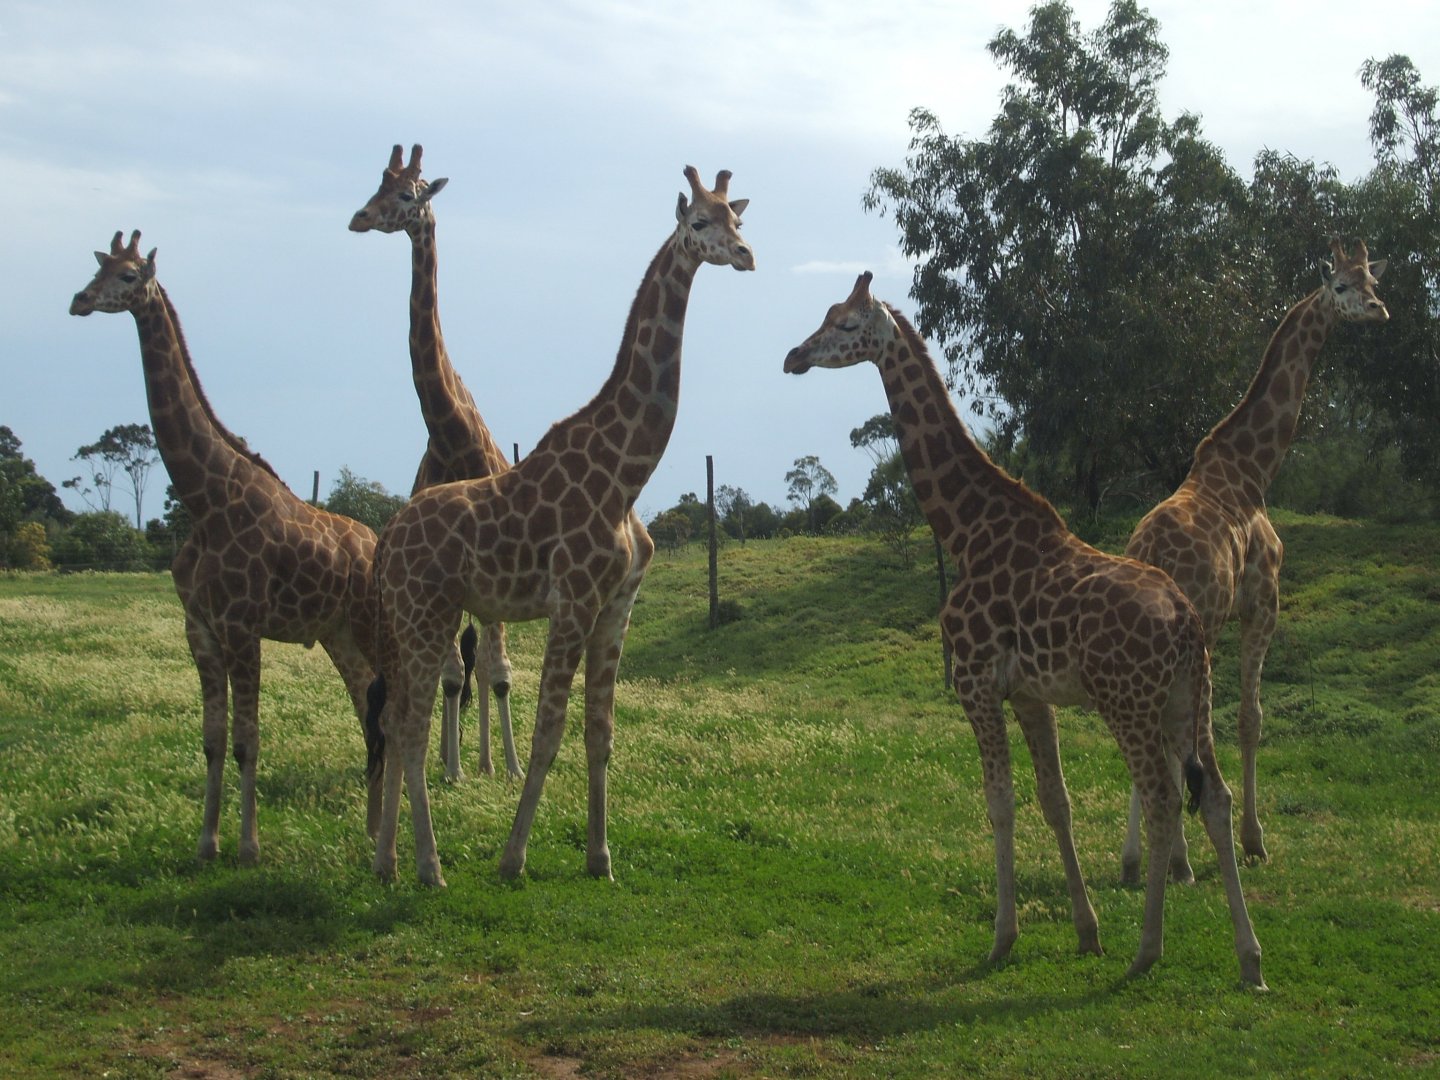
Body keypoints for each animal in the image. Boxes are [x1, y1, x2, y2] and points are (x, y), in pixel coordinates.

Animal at [69, 230, 382, 864]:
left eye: (129, 275)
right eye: (99, 267)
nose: (79, 301)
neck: (204, 500)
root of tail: (379, 543)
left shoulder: (242, 627)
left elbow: (247, 741)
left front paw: (248, 847)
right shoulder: (200, 628)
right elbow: (212, 740)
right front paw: (206, 843)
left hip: (370, 624)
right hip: (337, 631)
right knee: (369, 709)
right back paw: (368, 832)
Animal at [349, 143, 521, 783]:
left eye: (405, 193)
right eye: (376, 185)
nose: (359, 218)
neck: (451, 437)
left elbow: (499, 674)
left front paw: (510, 768)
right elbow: (450, 676)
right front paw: (447, 769)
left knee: (485, 665)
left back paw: (491, 759)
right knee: (458, 668)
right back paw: (460, 759)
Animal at [366, 165, 754, 886]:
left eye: (738, 219)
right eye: (699, 223)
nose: (746, 255)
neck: (627, 472)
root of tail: (385, 543)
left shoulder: (617, 605)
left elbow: (600, 733)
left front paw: (601, 859)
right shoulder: (572, 600)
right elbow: (549, 730)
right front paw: (512, 858)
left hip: (412, 618)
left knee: (399, 716)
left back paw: (388, 863)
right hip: (427, 613)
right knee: (410, 723)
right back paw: (430, 868)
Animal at [784, 272, 1264, 986]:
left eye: (845, 324)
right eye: (825, 314)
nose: (794, 357)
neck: (966, 532)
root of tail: (1185, 624)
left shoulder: (976, 685)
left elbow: (1000, 804)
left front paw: (1002, 939)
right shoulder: (1033, 696)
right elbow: (1054, 800)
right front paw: (1087, 932)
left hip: (1129, 702)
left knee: (1161, 797)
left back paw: (1148, 950)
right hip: (1188, 698)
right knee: (1216, 798)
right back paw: (1250, 959)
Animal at [1121, 239, 1389, 884]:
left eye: (1372, 279)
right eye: (1340, 286)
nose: (1379, 311)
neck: (1252, 471)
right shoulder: (1262, 604)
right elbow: (1250, 720)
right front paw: (1254, 840)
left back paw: (1138, 859)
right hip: (1199, 634)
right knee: (1181, 733)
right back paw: (1180, 861)